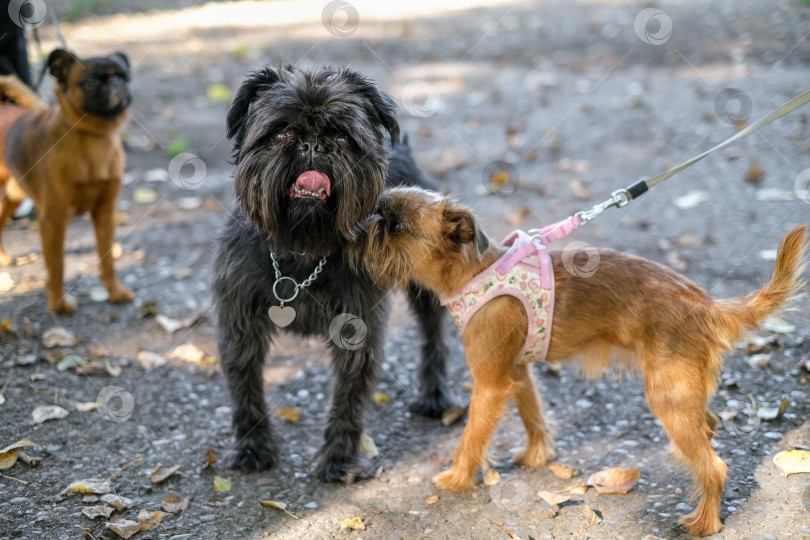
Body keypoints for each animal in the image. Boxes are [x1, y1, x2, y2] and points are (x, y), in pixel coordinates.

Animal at [0, 50, 134, 312]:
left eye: (125, 77)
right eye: (90, 83)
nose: (115, 83)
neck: (94, 137)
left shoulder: (105, 214)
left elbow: (107, 259)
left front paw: (115, 292)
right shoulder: (53, 220)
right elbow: (57, 266)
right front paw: (59, 305)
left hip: (13, 194)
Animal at [211, 64, 454, 480]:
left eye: (341, 135)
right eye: (281, 133)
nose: (312, 146)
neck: (303, 252)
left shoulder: (358, 326)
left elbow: (350, 393)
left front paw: (340, 458)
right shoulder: (239, 322)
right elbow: (245, 387)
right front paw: (253, 448)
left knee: (433, 333)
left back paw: (435, 394)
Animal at [356, 186, 804, 536]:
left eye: (395, 226)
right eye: (380, 211)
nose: (367, 222)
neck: (473, 271)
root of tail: (706, 306)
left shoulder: (489, 384)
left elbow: (470, 437)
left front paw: (457, 478)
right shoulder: (517, 372)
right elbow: (533, 413)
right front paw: (537, 456)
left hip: (668, 394)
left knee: (716, 467)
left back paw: (704, 522)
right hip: (683, 388)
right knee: (707, 426)